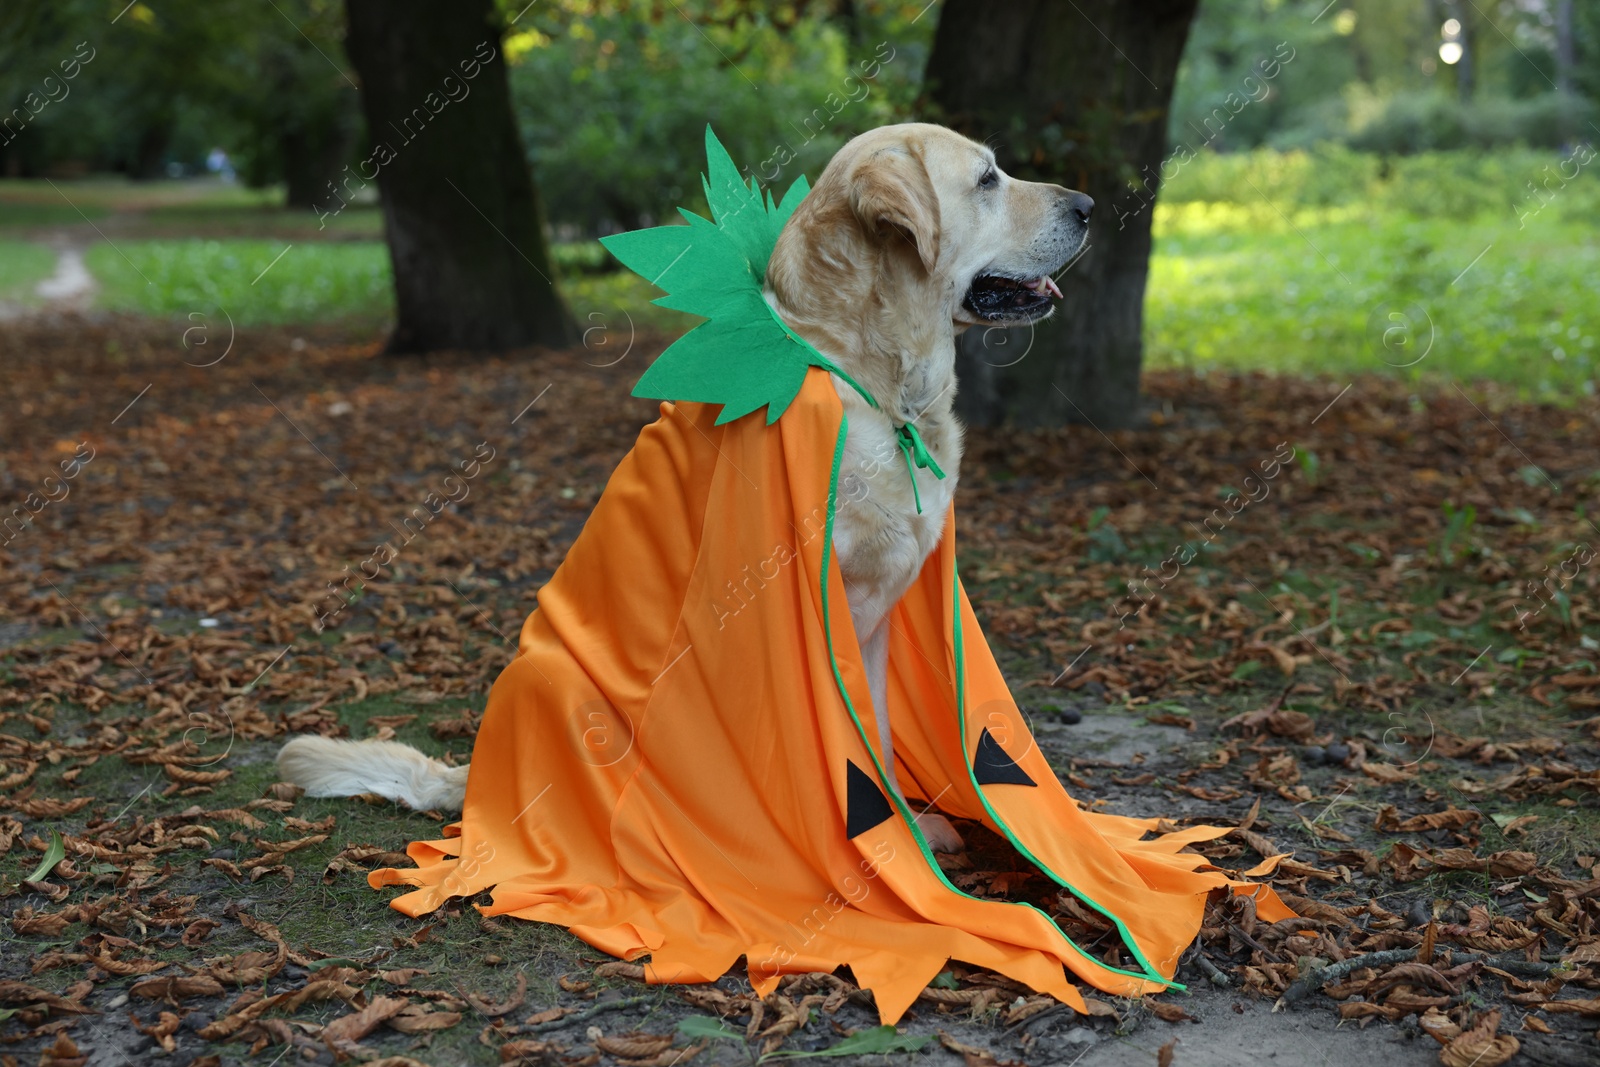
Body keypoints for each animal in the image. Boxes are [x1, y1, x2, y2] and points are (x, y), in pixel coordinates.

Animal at [281, 123, 1094, 857]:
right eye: (987, 179)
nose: (1089, 204)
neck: (870, 380)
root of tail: (475, 774)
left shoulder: (873, 621)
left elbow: (879, 737)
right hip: (568, 685)